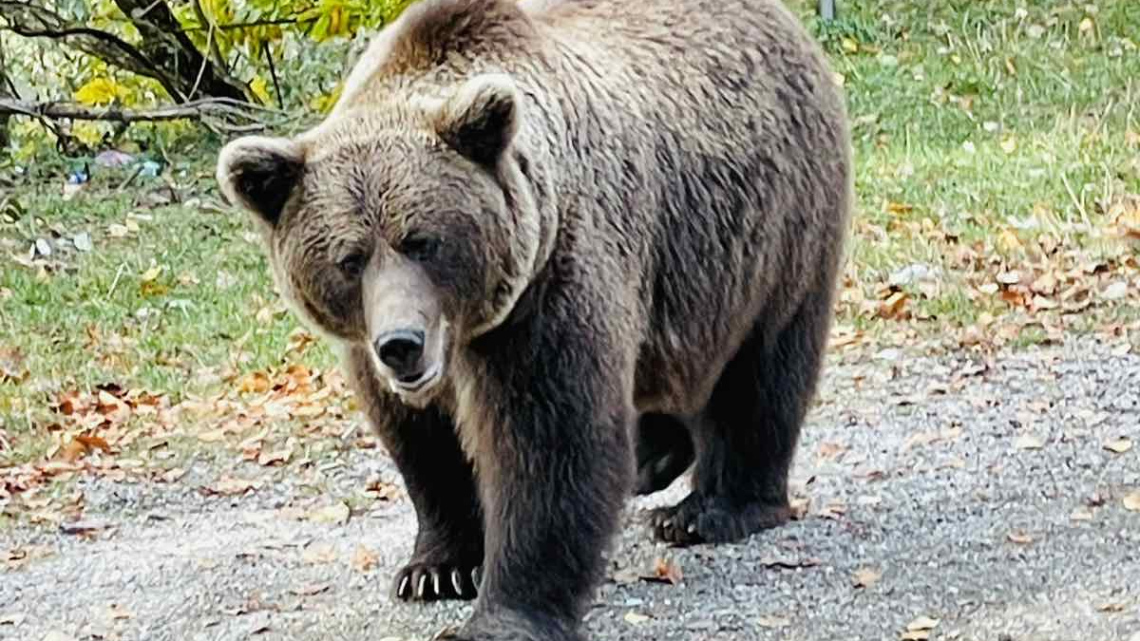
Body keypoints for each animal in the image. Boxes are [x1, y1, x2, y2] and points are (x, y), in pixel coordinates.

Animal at [217, 0, 852, 634]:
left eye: (422, 241)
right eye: (350, 258)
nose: (402, 344)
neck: (465, 332)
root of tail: (786, 24)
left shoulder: (546, 289)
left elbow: (550, 442)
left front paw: (505, 612)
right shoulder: (371, 350)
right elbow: (424, 445)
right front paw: (436, 568)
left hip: (772, 228)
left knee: (760, 369)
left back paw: (712, 509)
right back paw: (655, 458)